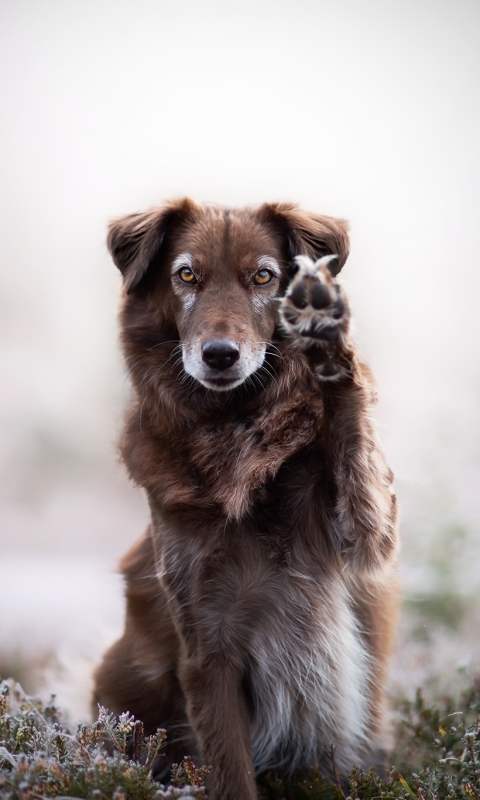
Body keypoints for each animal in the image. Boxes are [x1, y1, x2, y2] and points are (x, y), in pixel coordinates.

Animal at [92, 195, 400, 800]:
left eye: (263, 276)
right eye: (187, 275)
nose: (219, 355)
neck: (236, 435)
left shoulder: (368, 539)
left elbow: (352, 439)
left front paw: (324, 336)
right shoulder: (207, 644)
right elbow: (230, 770)